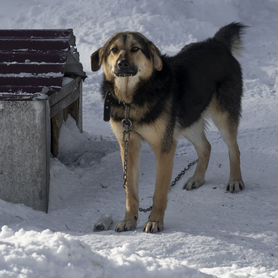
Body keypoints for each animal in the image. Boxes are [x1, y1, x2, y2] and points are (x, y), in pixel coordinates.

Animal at [90, 22, 245, 233]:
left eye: (135, 49)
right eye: (113, 50)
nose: (121, 63)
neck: (132, 100)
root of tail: (216, 43)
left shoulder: (164, 147)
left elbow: (160, 191)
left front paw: (155, 221)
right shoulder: (129, 145)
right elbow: (130, 191)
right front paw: (129, 221)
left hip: (222, 116)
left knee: (234, 149)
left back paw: (235, 181)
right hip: (188, 120)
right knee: (206, 147)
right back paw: (197, 179)